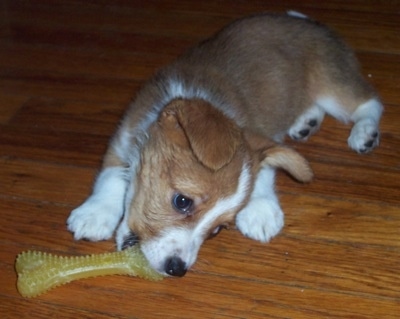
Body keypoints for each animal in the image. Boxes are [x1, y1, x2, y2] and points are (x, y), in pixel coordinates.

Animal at [67, 12, 382, 278]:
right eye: (182, 201)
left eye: (218, 230)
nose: (177, 269)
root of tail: (305, 20)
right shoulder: (123, 137)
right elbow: (110, 177)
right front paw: (95, 213)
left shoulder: (260, 136)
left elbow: (265, 169)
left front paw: (260, 209)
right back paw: (307, 122)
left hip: (333, 85)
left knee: (369, 103)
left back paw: (364, 134)